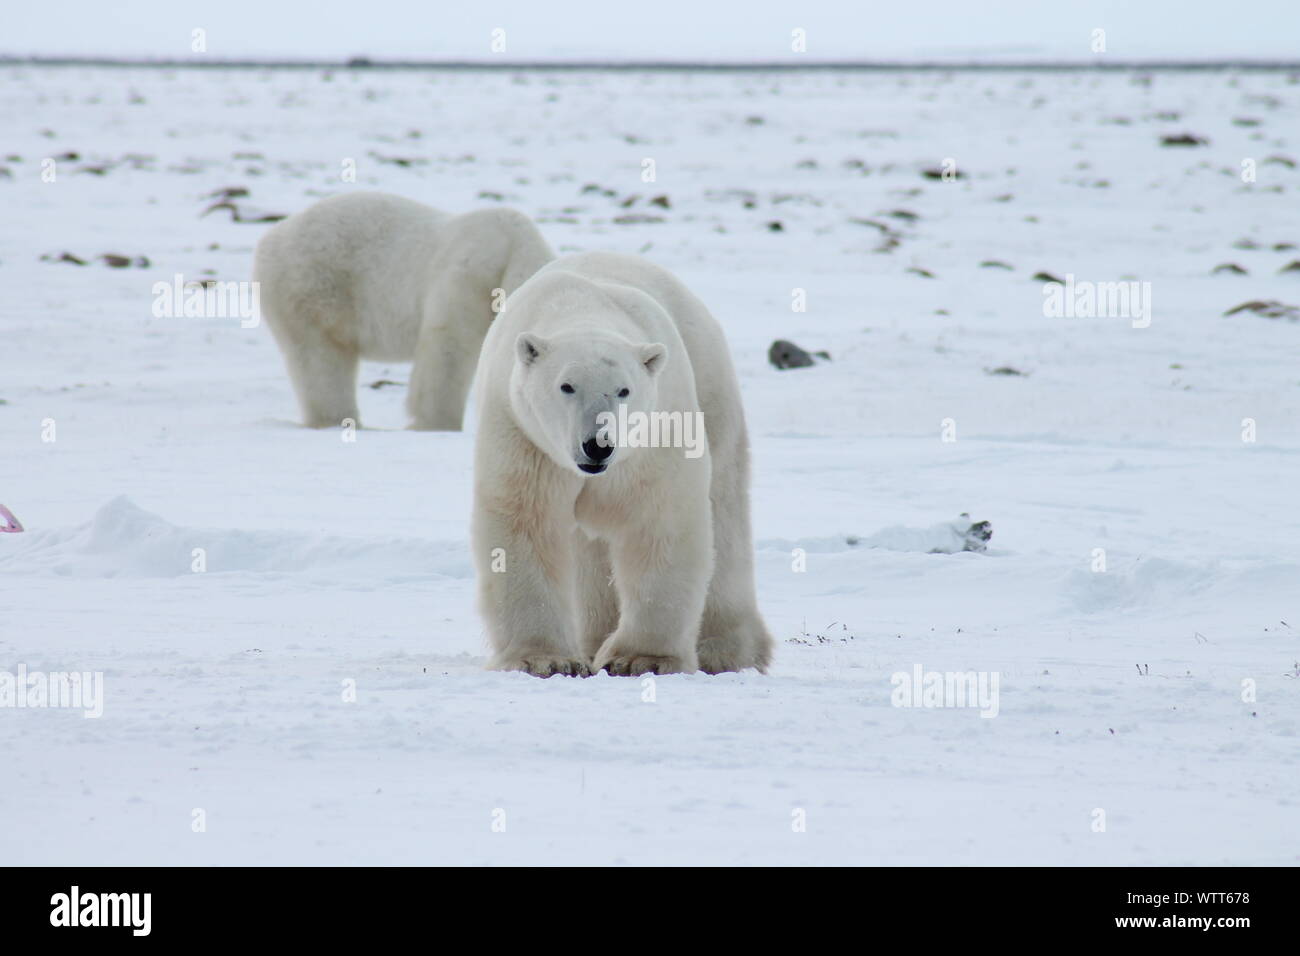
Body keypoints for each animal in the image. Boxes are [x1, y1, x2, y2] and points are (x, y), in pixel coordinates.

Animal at [252, 192, 553, 430]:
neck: (515, 249)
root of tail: (270, 238)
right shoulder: (468, 276)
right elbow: (448, 345)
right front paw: (436, 424)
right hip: (313, 285)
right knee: (321, 357)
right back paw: (338, 418)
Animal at [470, 251, 774, 677]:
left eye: (624, 390)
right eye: (566, 386)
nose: (598, 445)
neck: (582, 307)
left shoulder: (657, 431)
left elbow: (660, 518)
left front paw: (641, 658)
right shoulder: (523, 432)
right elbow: (525, 520)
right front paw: (544, 659)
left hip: (712, 388)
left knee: (725, 511)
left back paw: (725, 651)